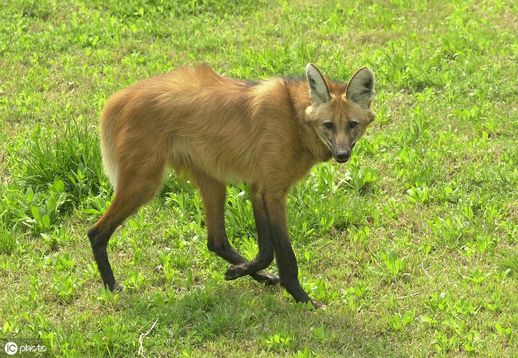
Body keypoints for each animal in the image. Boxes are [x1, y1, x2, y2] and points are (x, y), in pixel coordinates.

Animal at [87, 63, 376, 306]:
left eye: (352, 125)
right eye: (328, 125)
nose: (342, 154)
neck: (296, 119)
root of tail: (121, 97)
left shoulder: (259, 187)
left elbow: (266, 250)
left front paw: (240, 272)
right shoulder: (272, 190)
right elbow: (283, 252)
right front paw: (303, 298)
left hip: (212, 179)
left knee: (216, 240)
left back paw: (259, 275)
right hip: (145, 183)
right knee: (96, 232)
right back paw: (112, 286)